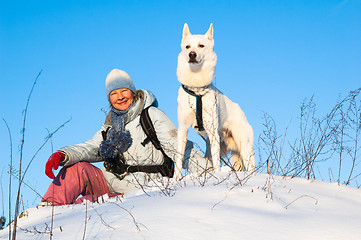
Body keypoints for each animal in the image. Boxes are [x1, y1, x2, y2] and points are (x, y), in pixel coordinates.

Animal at [173, 23, 255, 180]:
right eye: (187, 47)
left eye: (201, 45)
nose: (192, 54)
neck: (196, 90)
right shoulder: (182, 129)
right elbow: (179, 159)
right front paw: (174, 180)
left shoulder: (212, 131)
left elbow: (217, 163)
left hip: (244, 147)